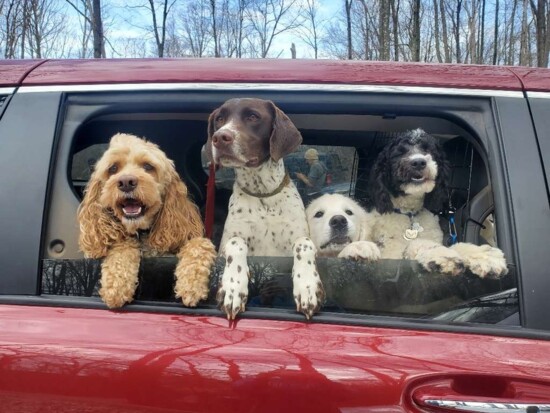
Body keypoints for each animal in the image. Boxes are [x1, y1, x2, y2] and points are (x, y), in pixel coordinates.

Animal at [207, 99, 328, 318]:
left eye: (253, 117)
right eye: (220, 119)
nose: (219, 137)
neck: (262, 195)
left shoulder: (296, 241)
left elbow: (304, 243)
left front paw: (308, 287)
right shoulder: (228, 244)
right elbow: (235, 242)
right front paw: (233, 287)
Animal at [366, 129, 508, 276]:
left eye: (428, 150)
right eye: (399, 153)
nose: (419, 162)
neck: (410, 213)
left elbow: (456, 246)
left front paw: (483, 255)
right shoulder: (390, 255)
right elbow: (418, 244)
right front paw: (443, 255)